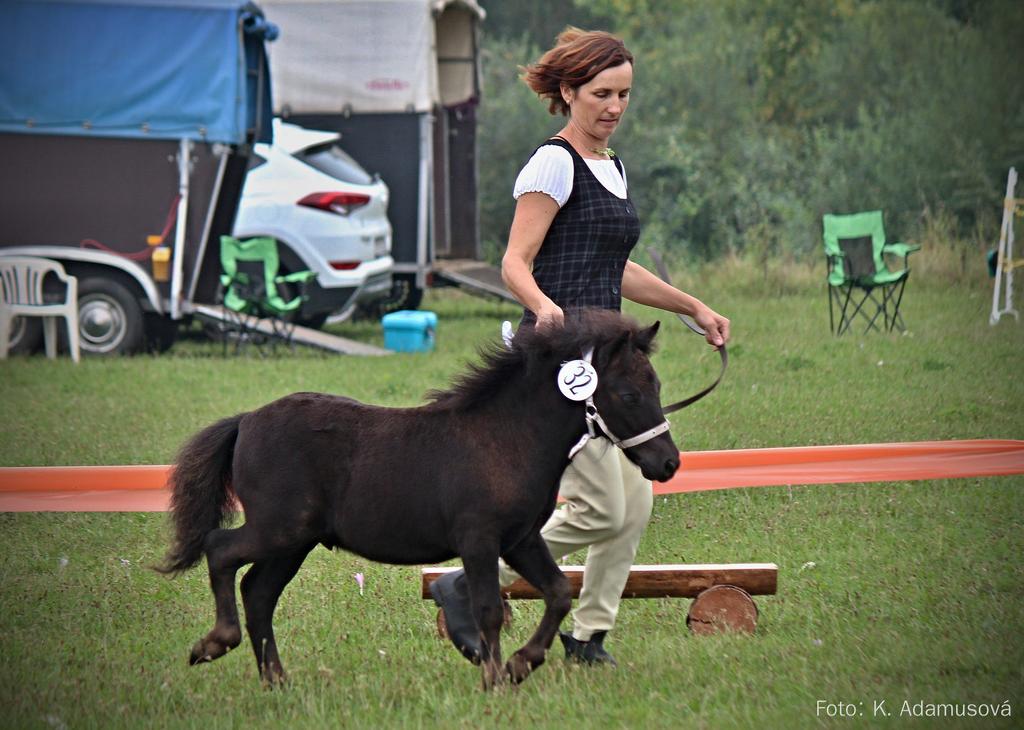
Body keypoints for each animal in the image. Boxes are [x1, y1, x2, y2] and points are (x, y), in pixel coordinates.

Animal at [159, 307, 679, 688]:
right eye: (628, 394)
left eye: (657, 384)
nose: (669, 463)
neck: (508, 437)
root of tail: (246, 421)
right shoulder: (479, 540)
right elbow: (489, 609)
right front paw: (494, 678)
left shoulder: (521, 540)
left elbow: (557, 593)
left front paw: (519, 665)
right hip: (279, 529)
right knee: (220, 551)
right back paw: (214, 644)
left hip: (294, 541)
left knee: (258, 592)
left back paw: (276, 681)